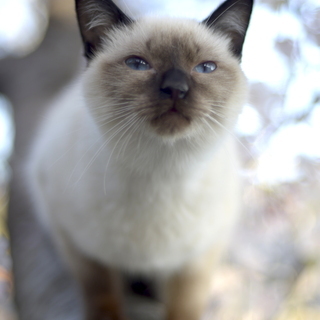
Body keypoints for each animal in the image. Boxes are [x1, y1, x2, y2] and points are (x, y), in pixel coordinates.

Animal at [25, 0, 254, 318]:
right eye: (138, 64)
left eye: (205, 68)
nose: (176, 88)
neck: (160, 175)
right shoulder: (76, 241)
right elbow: (102, 293)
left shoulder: (199, 256)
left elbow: (184, 305)